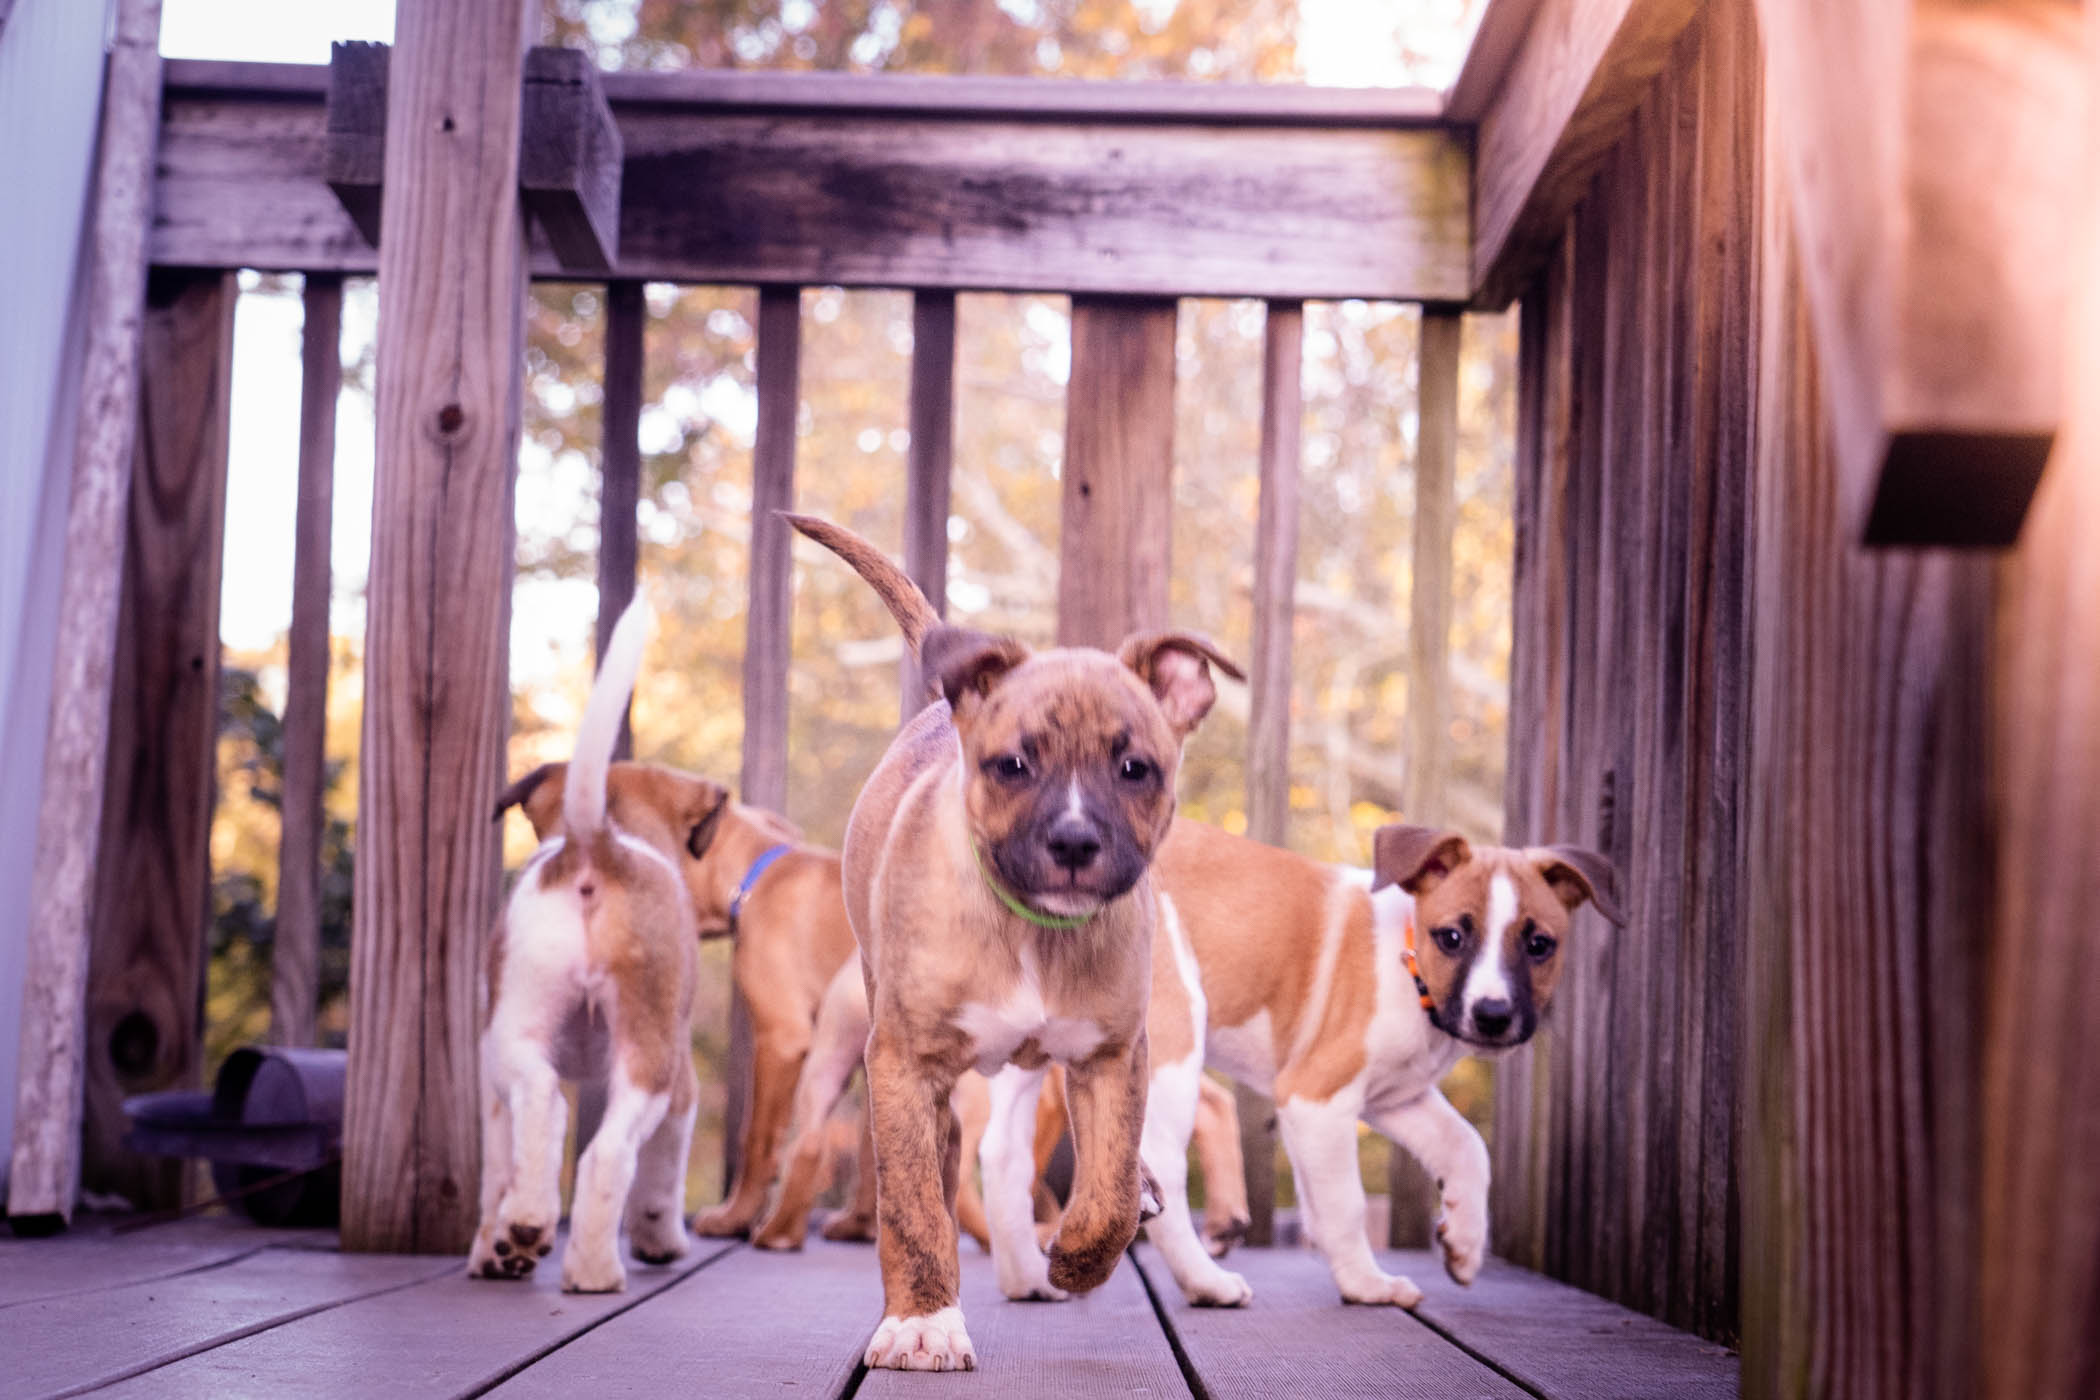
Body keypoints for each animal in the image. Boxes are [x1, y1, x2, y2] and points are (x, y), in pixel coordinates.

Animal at [468, 599, 702, 1292]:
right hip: (648, 1057)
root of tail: (594, 845)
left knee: (545, 1104)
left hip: (518, 1031)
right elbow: (660, 1175)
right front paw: (662, 1241)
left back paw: (526, 1227)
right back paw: (593, 1268)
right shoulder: (682, 1080)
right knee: (608, 1154)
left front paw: (490, 1249)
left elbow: (497, 1169)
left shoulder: (489, 1079)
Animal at [786, 512, 1241, 1372]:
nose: (1073, 842)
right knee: (941, 1160)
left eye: (1135, 768)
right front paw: (925, 1320)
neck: (1034, 929)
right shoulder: (901, 1061)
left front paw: (1079, 1257)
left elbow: (1109, 1188)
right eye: (1014, 765)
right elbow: (913, 1206)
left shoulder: (1112, 1056)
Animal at [982, 817, 1622, 1311]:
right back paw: (1207, 1283)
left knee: (1002, 1151)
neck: (1409, 960)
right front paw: (1366, 1285)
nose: (1492, 1015)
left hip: (1039, 1048)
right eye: (1453, 937)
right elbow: (1345, 1204)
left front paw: (1463, 1244)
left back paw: (1026, 1280)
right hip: (1169, 1034)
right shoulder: (1317, 1098)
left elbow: (1466, 1146)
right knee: (1155, 1161)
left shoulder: (1397, 1097)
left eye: (1539, 945)